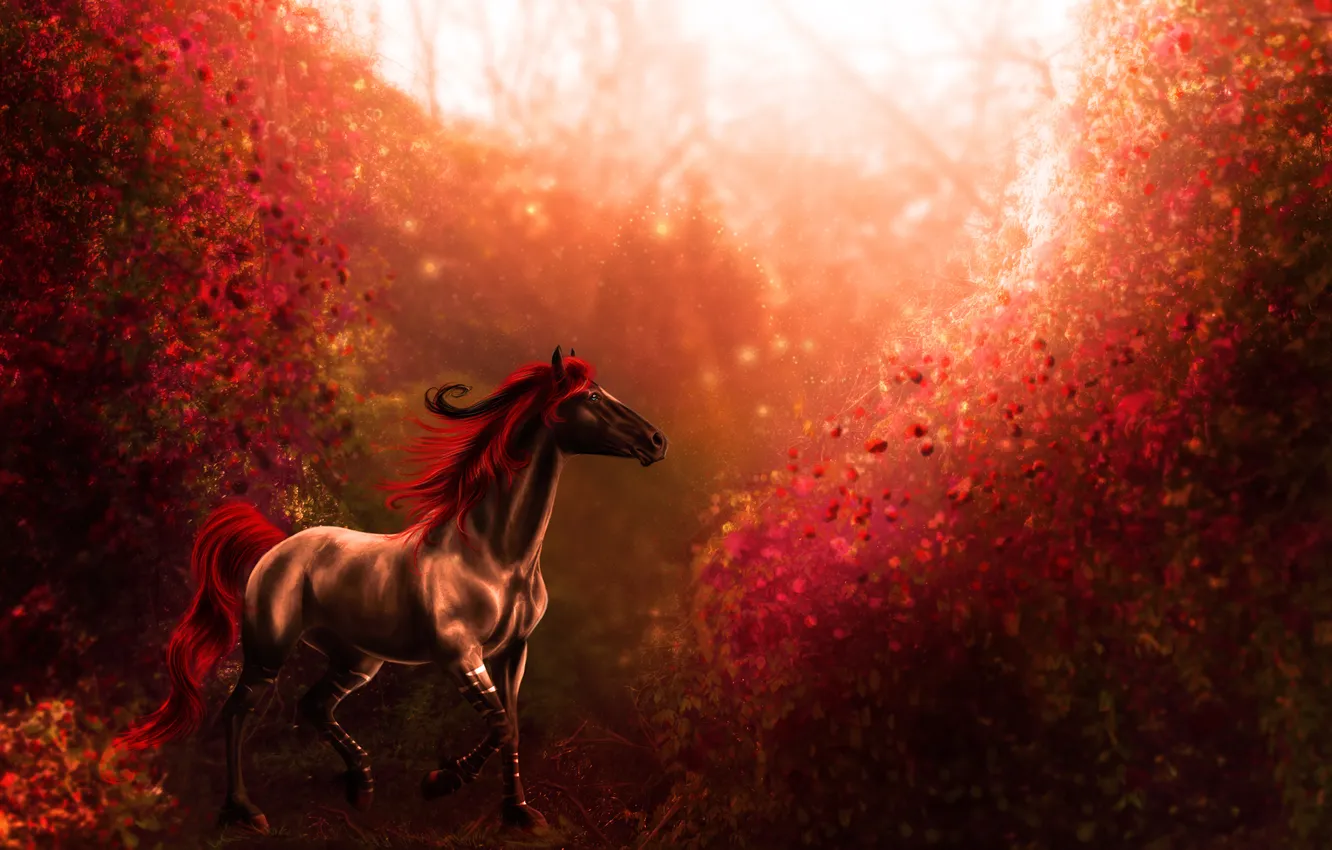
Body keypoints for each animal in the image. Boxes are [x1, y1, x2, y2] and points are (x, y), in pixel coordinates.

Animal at [115, 346, 668, 834]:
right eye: (592, 396)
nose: (658, 440)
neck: (497, 555)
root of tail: (278, 547)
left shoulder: (515, 651)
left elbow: (510, 725)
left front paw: (518, 814)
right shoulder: (460, 654)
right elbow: (501, 725)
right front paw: (440, 782)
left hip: (358, 660)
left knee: (314, 705)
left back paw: (361, 787)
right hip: (268, 651)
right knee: (236, 713)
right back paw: (245, 812)